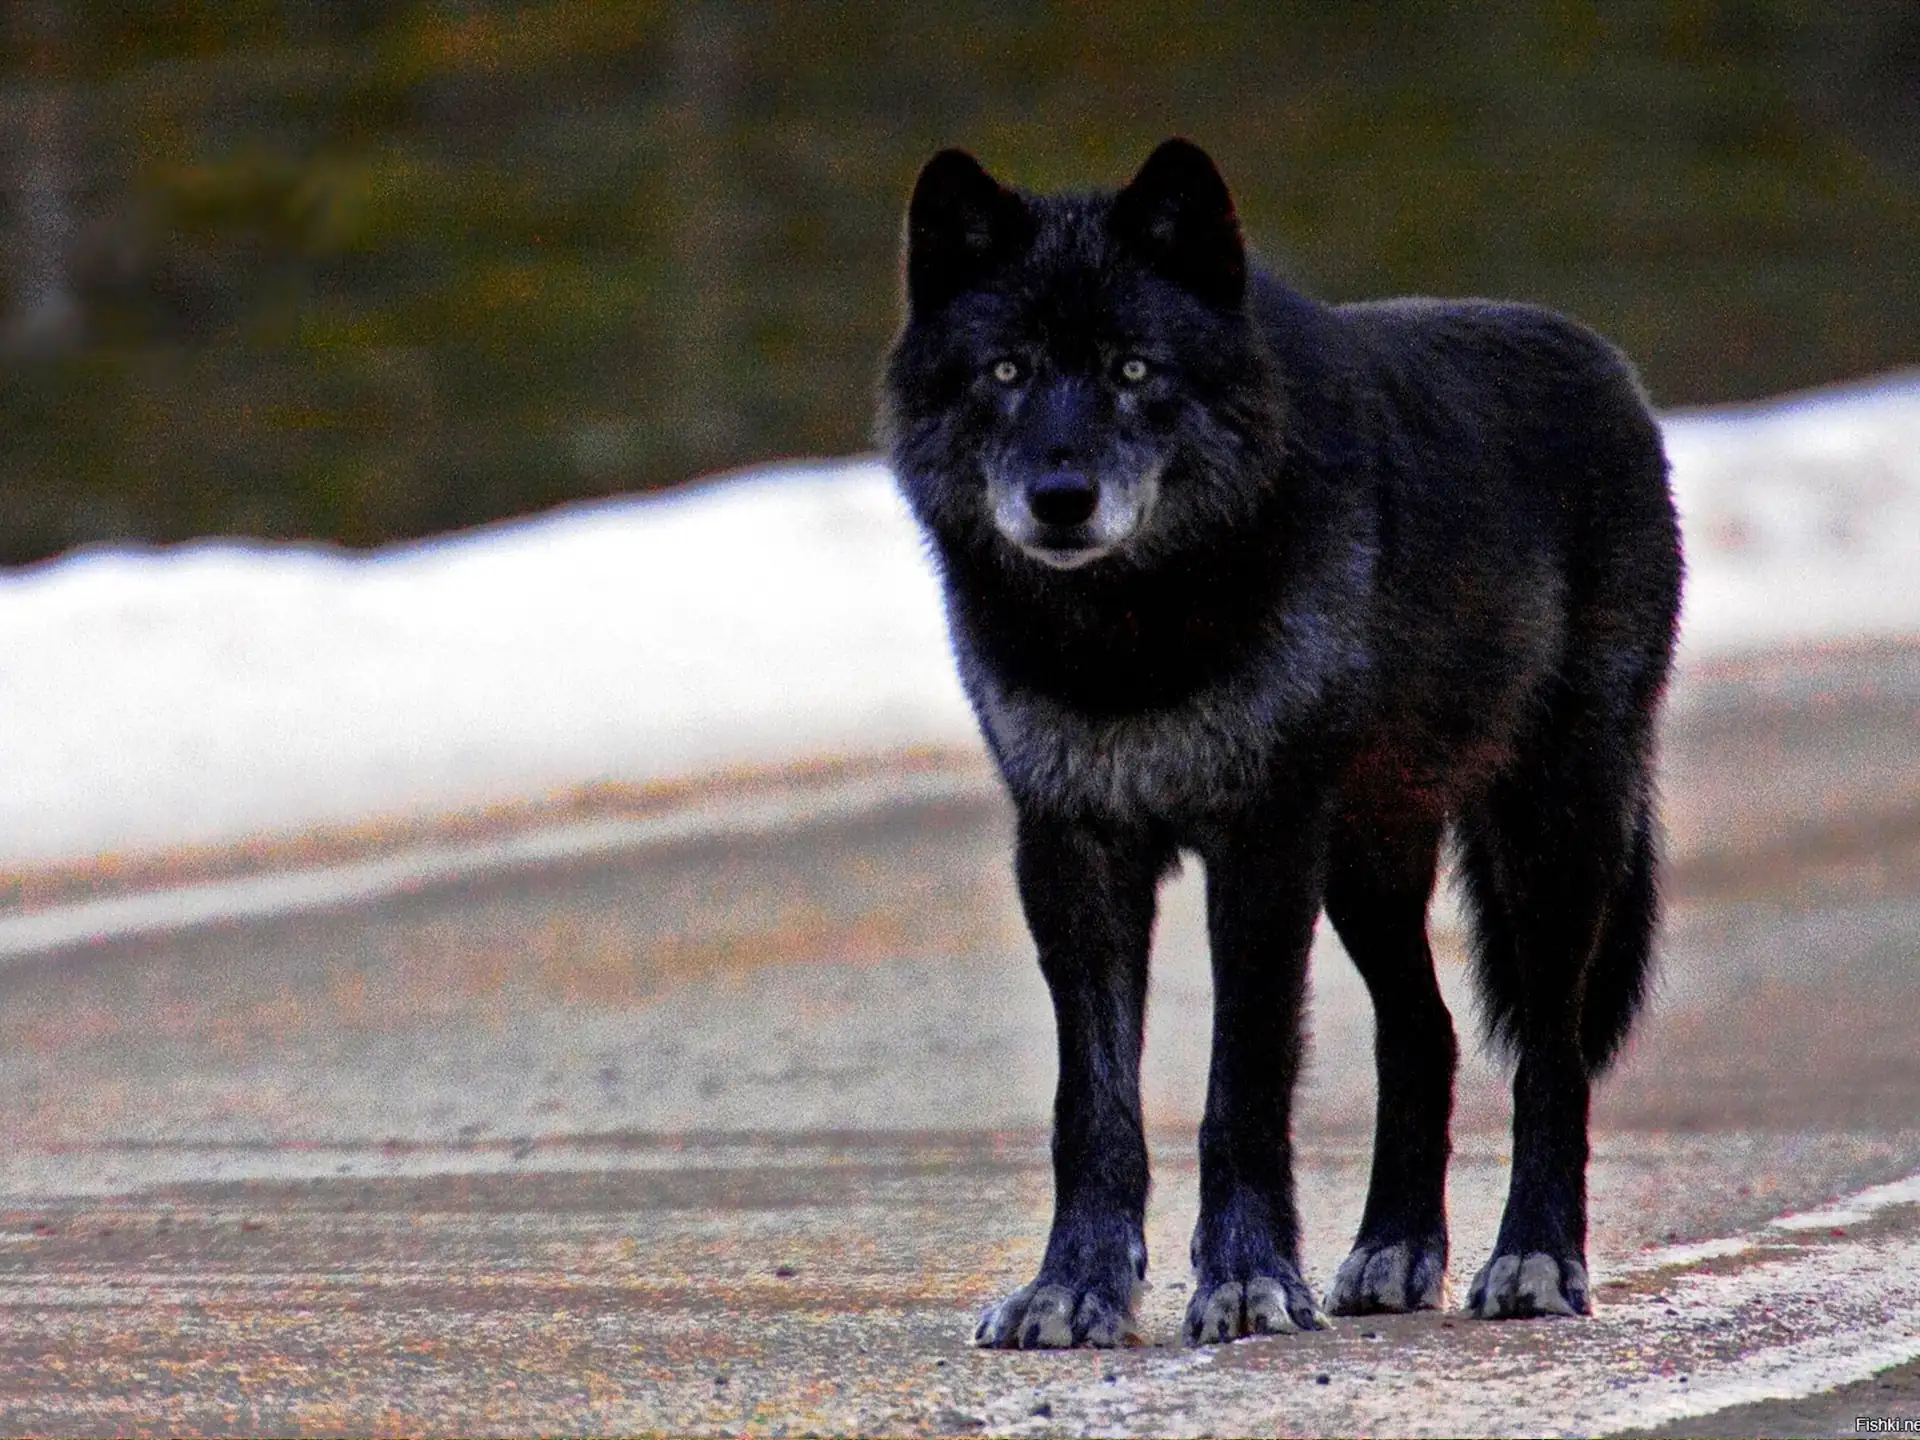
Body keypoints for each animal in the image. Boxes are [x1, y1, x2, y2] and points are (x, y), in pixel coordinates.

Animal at [879, 141, 1681, 1351]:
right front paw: (1074, 1287)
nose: (1060, 498)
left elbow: (1242, 1087)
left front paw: (1248, 1283)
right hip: (1367, 864)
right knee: (1427, 1034)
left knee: (1551, 1055)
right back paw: (1395, 1251)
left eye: (1133, 369)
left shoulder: (1260, 843)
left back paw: (1535, 1259)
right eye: (1006, 371)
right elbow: (1091, 1108)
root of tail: (1611, 368)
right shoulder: (1072, 850)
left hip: (1550, 837)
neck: (1129, 638)